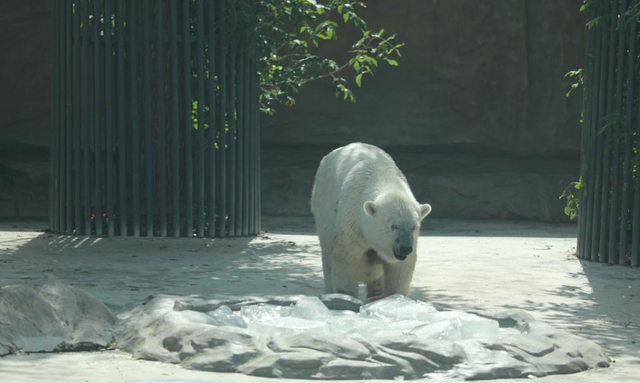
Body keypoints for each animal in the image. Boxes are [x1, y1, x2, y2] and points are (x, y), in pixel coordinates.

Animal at [308, 144, 430, 300]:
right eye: (394, 226)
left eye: (414, 227)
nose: (406, 248)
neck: (383, 178)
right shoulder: (352, 222)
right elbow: (346, 256)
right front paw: (345, 295)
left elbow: (399, 268)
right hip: (323, 208)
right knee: (328, 256)